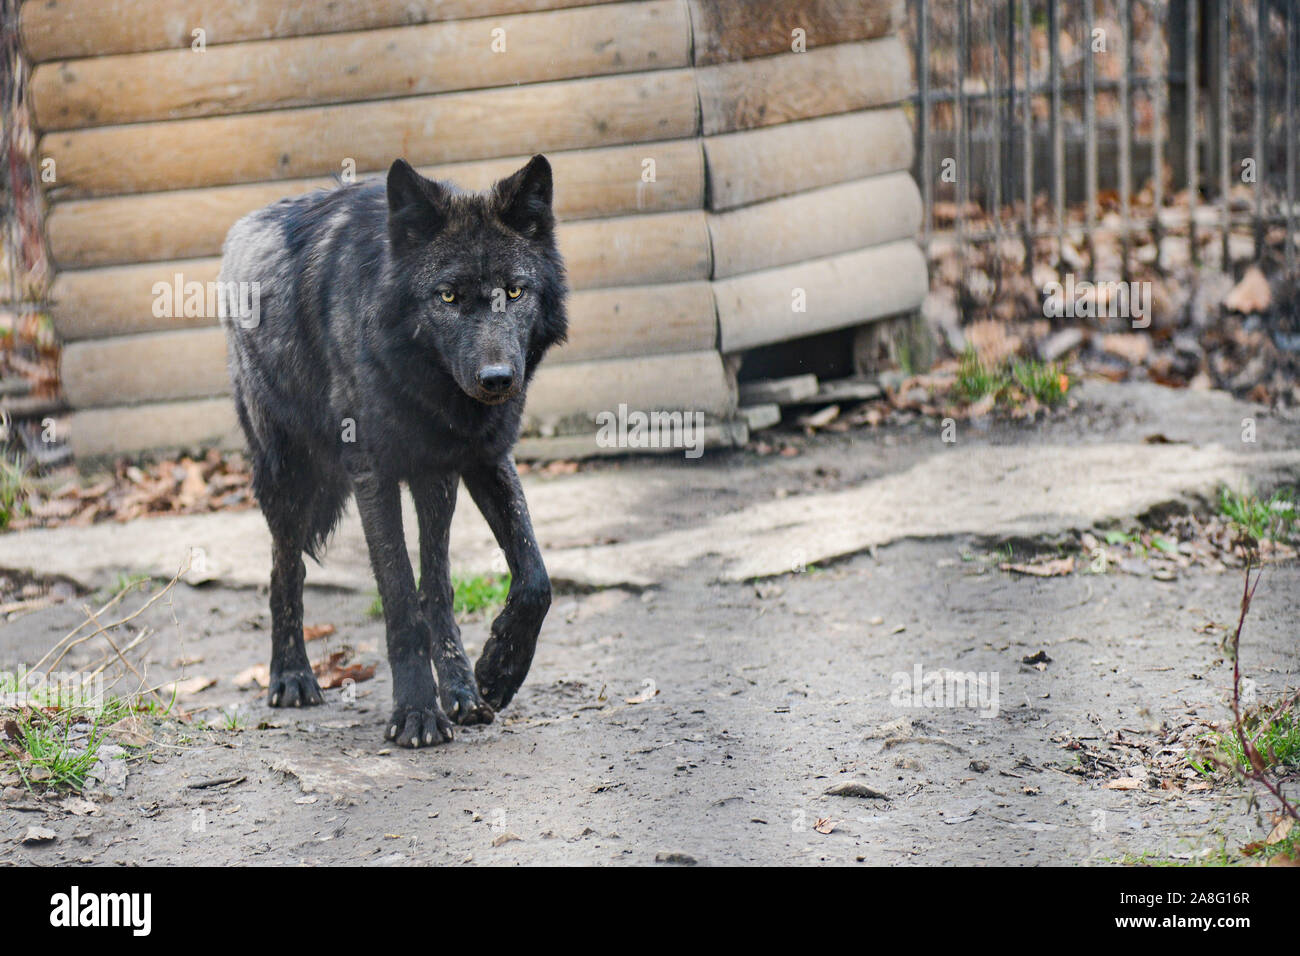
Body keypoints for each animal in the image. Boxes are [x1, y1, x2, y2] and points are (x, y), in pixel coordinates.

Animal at [218, 155, 567, 747]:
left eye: (515, 292)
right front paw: (417, 713)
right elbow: (401, 596)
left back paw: (462, 691)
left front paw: (495, 673)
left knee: (439, 585)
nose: (498, 379)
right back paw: (292, 676)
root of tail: (242, 226)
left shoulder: (482, 456)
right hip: (286, 478)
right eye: (447, 296)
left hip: (431, 482)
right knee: (286, 571)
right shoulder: (372, 475)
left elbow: (530, 579)